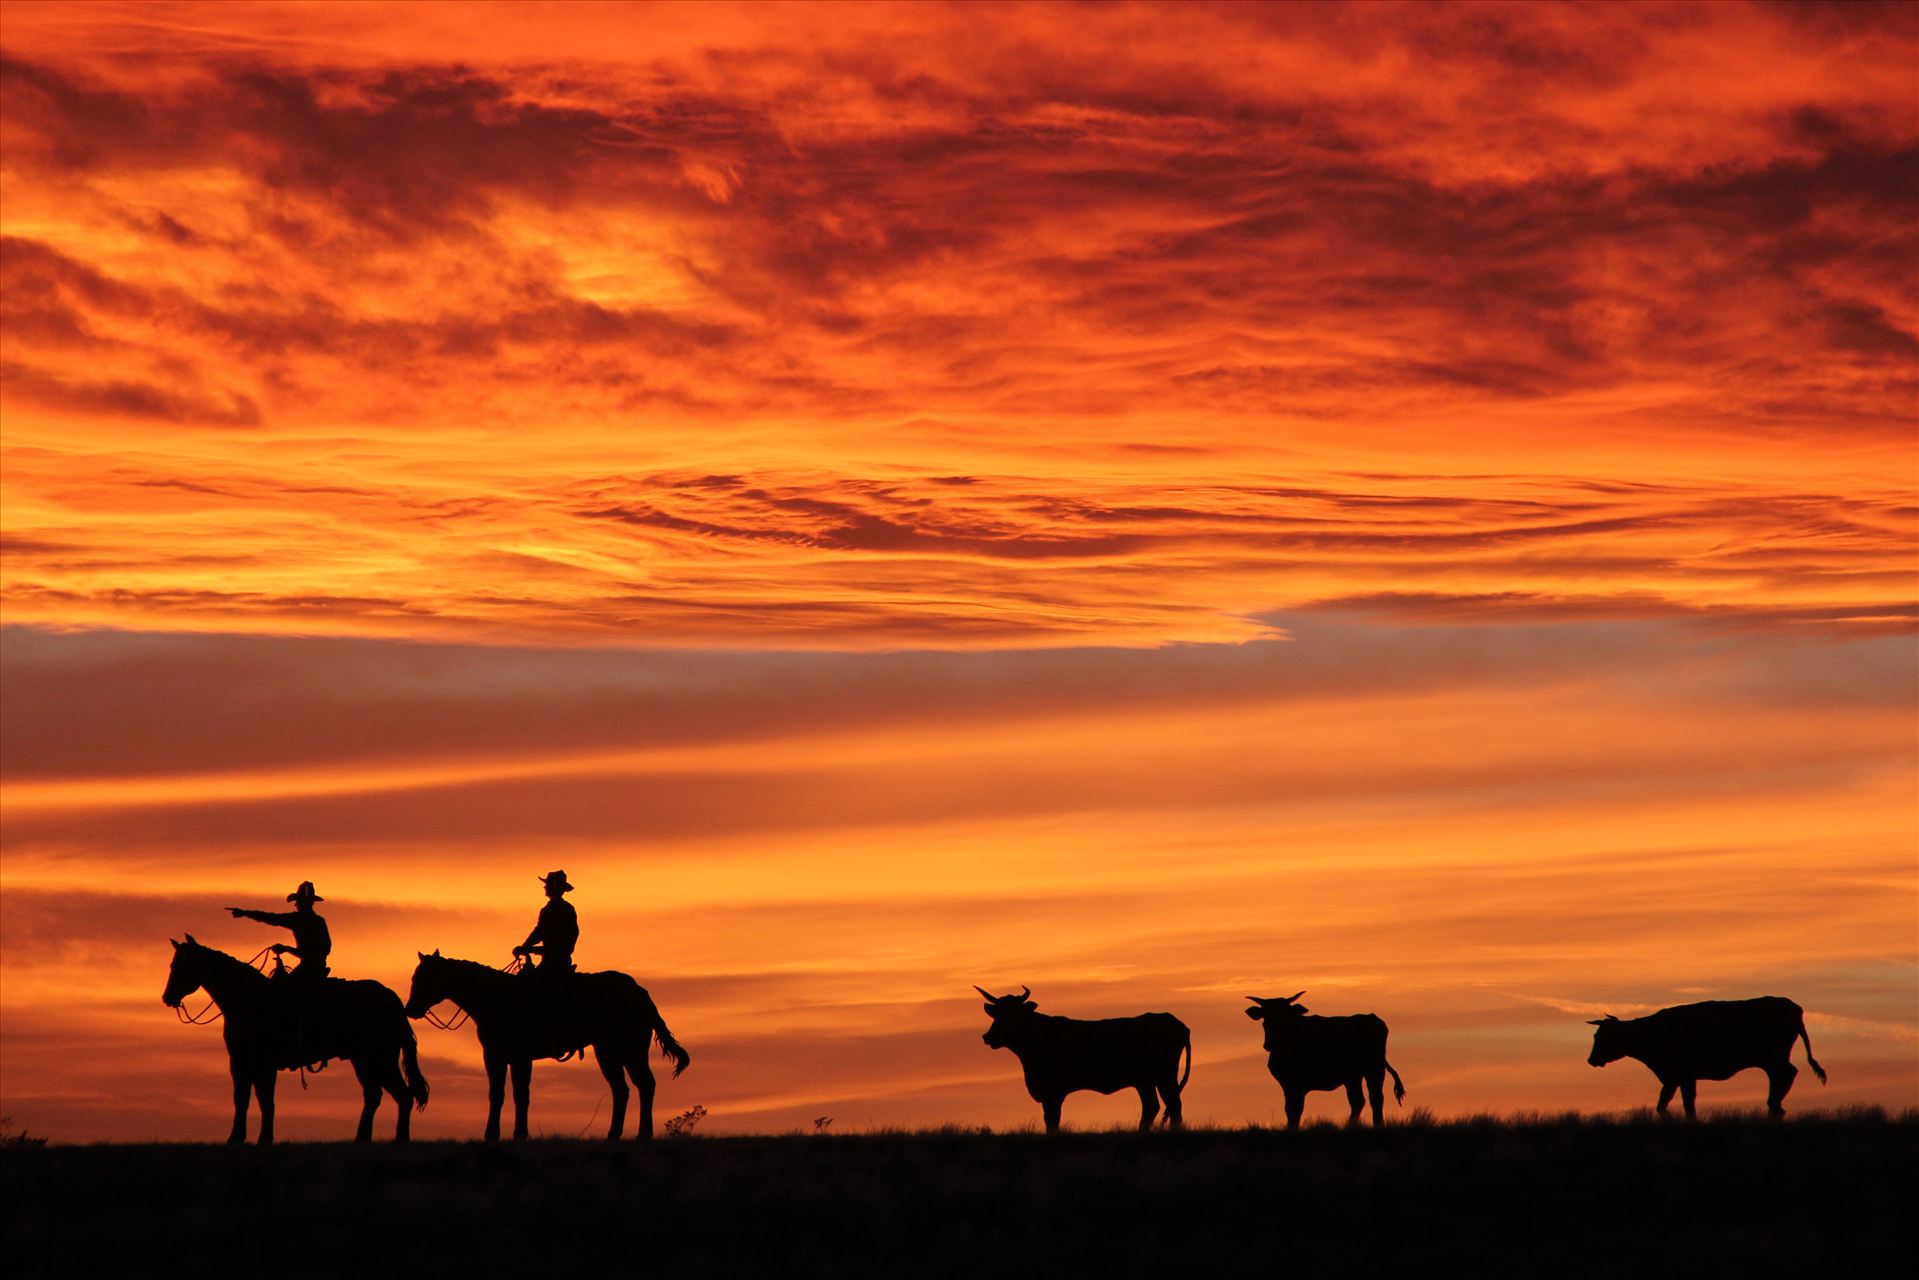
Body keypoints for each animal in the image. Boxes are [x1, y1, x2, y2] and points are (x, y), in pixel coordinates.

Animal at [161, 932, 427, 1143]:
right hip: (363, 1061)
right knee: (375, 1095)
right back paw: (363, 1138)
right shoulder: (246, 1063)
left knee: (402, 1096)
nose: (167, 997)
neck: (248, 999)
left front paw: (251, 1138)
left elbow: (259, 1099)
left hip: (379, 1059)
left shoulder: (256, 1063)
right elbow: (249, 1098)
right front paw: (248, 1138)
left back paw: (399, 1139)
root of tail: (393, 1002)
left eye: (180, 965)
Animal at [404, 951, 690, 1143]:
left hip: (631, 1049)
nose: (410, 1009)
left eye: (424, 977)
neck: (496, 997)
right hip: (607, 1051)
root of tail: (642, 994)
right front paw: (492, 1134)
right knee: (622, 1089)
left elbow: (521, 1095)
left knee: (645, 1084)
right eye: (414, 976)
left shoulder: (519, 1058)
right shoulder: (495, 1057)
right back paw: (614, 1134)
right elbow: (497, 1094)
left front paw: (519, 1133)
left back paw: (644, 1134)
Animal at [982, 990, 1189, 1136]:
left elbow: (1052, 1119)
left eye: (1013, 1014)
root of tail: (1176, 1022)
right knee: (1154, 1106)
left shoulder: (1053, 1092)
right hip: (1146, 1081)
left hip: (1164, 1076)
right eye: (997, 1014)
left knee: (1173, 1104)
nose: (987, 1036)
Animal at [1251, 990, 1404, 1128]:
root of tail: (1372, 1018)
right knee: (1358, 1101)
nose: (1269, 1044)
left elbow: (1295, 1110)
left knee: (1375, 1098)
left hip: (1374, 1070)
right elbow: (1290, 1110)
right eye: (1265, 1018)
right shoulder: (1288, 1083)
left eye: (1284, 1017)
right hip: (1353, 1076)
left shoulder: (1297, 1084)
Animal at [1588, 997, 1826, 1113]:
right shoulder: (1680, 1077)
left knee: (1786, 1074)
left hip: (1773, 1057)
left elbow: (1676, 1103)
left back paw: (1774, 1105)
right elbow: (1676, 1102)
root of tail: (1794, 1007)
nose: (1591, 1060)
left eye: (1601, 1036)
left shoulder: (1678, 1075)